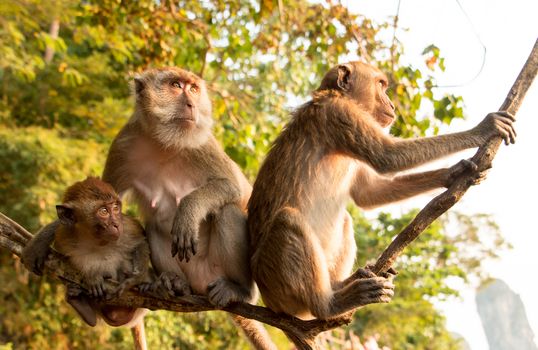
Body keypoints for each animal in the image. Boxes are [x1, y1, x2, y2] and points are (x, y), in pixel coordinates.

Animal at [22, 178, 149, 350]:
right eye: (103, 211)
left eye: (116, 208)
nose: (116, 224)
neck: (97, 240)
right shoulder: (64, 235)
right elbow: (62, 263)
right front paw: (91, 277)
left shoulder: (127, 227)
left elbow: (140, 242)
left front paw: (135, 279)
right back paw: (79, 303)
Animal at [102, 67, 274, 348]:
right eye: (176, 85)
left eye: (193, 89)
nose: (192, 104)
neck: (164, 143)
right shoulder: (123, 144)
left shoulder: (203, 144)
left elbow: (234, 188)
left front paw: (188, 211)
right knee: (153, 227)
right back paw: (172, 283)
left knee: (227, 211)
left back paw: (239, 290)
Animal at [247, 60, 516, 320]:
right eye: (380, 85)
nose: (392, 104)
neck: (340, 97)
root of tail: (271, 303)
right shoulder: (339, 114)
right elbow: (388, 157)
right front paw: (483, 128)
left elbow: (368, 193)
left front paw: (454, 173)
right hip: (275, 282)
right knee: (288, 219)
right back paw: (330, 305)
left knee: (344, 219)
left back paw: (340, 284)